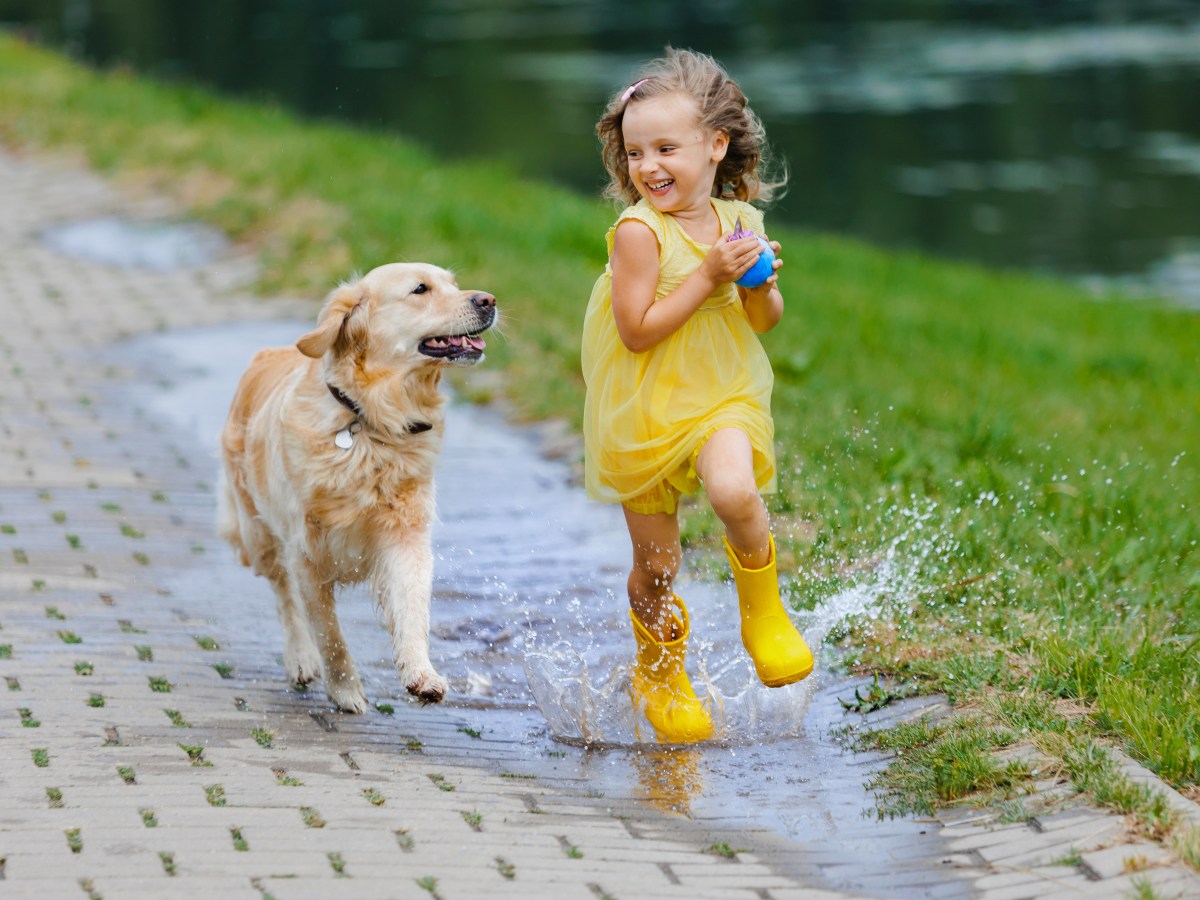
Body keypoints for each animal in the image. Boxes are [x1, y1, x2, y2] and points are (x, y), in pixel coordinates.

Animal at [218, 264, 494, 715]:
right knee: (284, 596)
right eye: (420, 289)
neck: (370, 422)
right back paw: (300, 658)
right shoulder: (306, 551)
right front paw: (345, 688)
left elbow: (412, 608)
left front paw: (422, 675)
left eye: (453, 283)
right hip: (257, 533)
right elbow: (328, 631)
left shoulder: (405, 536)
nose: (488, 300)